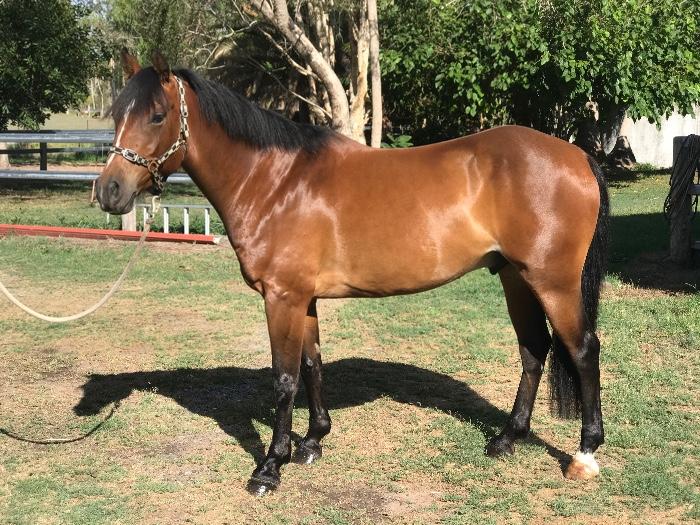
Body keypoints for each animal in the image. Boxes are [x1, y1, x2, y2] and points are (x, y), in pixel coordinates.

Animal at [95, 50, 609, 496]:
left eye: (157, 115)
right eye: (117, 115)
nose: (109, 191)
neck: (275, 182)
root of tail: (577, 156)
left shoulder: (281, 298)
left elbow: (283, 380)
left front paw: (270, 466)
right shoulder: (303, 298)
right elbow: (311, 365)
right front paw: (312, 442)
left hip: (552, 282)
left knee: (582, 350)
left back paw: (584, 454)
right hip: (514, 277)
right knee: (534, 350)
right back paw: (506, 439)